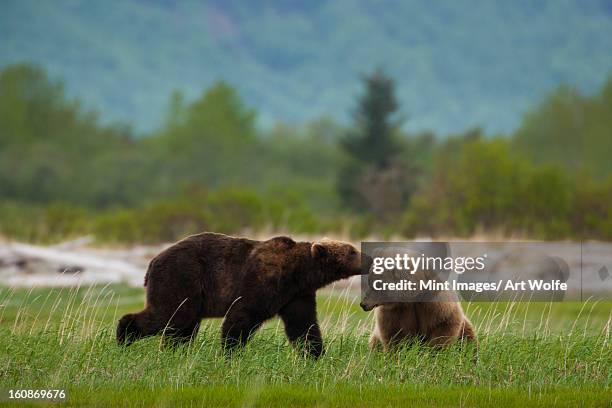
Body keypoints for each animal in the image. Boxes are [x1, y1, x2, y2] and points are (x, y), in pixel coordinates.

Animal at [118, 233, 368, 356]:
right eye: (351, 251)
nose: (367, 257)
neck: (299, 272)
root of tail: (152, 260)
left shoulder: (296, 295)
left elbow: (304, 326)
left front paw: (315, 354)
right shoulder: (262, 282)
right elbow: (241, 317)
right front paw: (230, 352)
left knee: (183, 325)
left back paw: (175, 350)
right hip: (181, 277)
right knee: (170, 315)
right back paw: (124, 336)